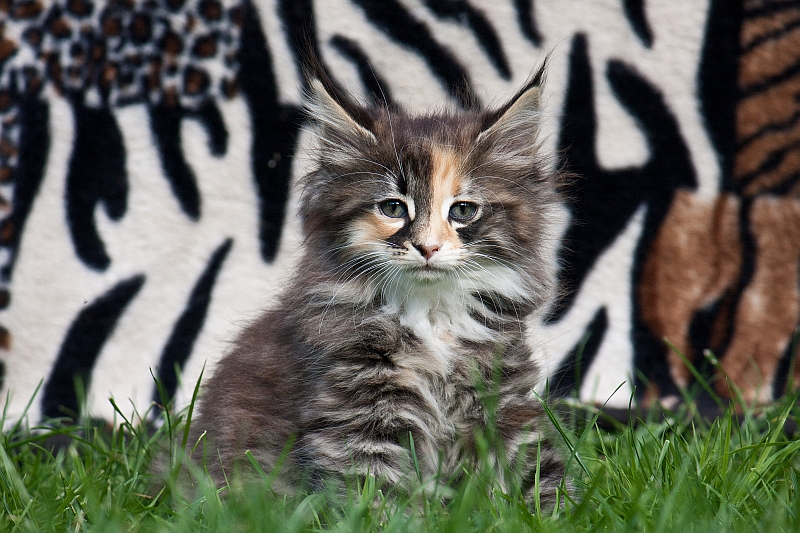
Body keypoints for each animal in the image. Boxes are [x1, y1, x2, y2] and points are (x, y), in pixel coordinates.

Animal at [188, 61, 564, 502]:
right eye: (393, 208)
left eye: (463, 211)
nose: (428, 247)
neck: (430, 314)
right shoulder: (360, 407)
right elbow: (371, 491)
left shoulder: (503, 396)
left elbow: (536, 471)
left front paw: (549, 509)